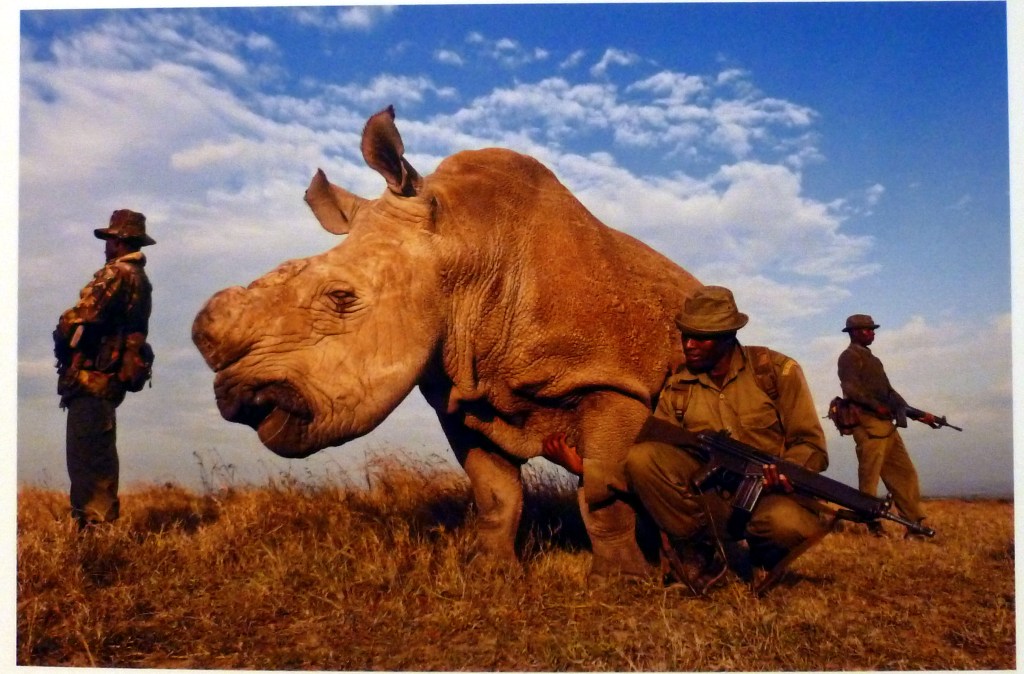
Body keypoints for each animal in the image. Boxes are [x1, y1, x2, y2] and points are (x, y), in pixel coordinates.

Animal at [192, 106, 701, 578]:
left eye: (341, 297)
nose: (238, 398)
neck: (468, 247)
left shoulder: (614, 381)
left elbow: (601, 492)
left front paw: (622, 580)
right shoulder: (461, 394)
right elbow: (495, 493)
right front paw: (492, 572)